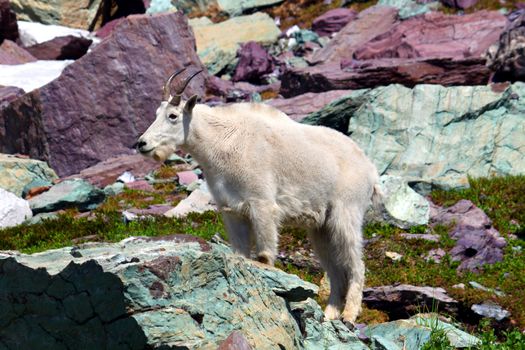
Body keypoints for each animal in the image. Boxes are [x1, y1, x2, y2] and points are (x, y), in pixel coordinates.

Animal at [136, 68, 380, 322]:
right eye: (156, 113)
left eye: (173, 115)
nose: (141, 143)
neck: (221, 142)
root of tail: (370, 170)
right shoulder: (232, 210)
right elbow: (241, 254)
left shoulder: (262, 205)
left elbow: (263, 256)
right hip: (320, 226)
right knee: (334, 269)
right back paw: (329, 314)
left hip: (346, 213)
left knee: (356, 265)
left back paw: (349, 315)